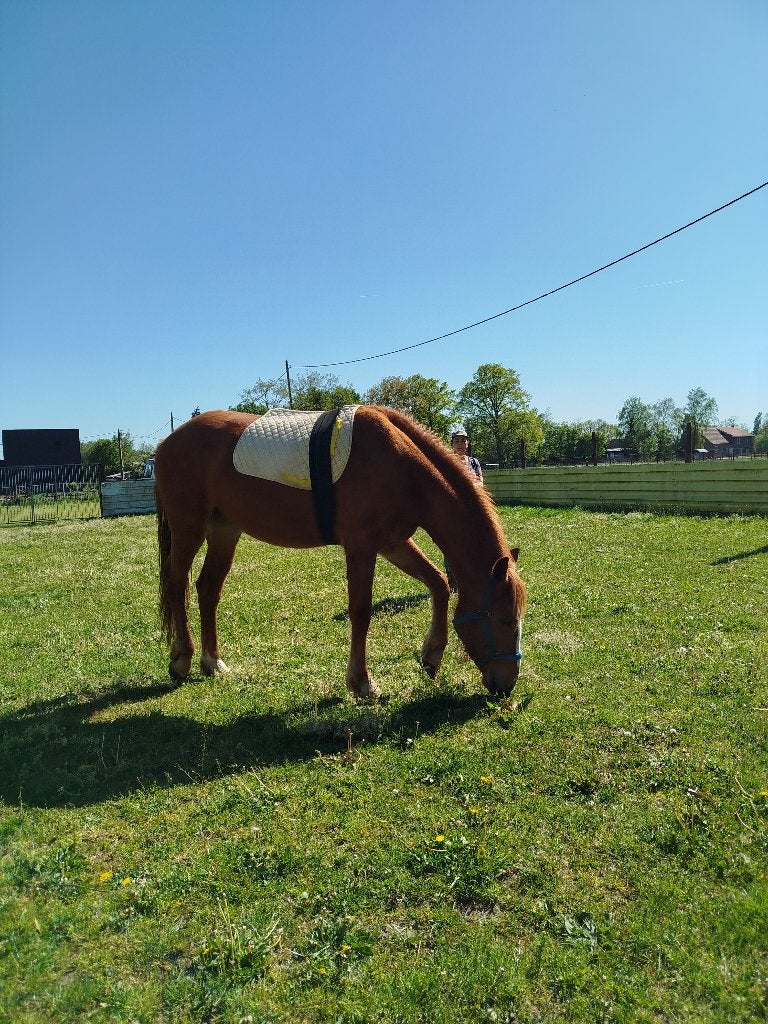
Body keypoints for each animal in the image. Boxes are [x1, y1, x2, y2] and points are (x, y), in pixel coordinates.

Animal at [154, 406, 527, 698]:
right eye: (506, 619)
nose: (507, 684)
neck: (402, 467)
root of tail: (165, 444)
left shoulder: (392, 543)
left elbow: (438, 583)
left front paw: (431, 655)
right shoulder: (361, 546)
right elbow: (361, 611)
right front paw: (362, 682)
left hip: (224, 530)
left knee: (208, 589)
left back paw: (212, 661)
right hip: (189, 528)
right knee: (177, 585)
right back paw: (182, 659)